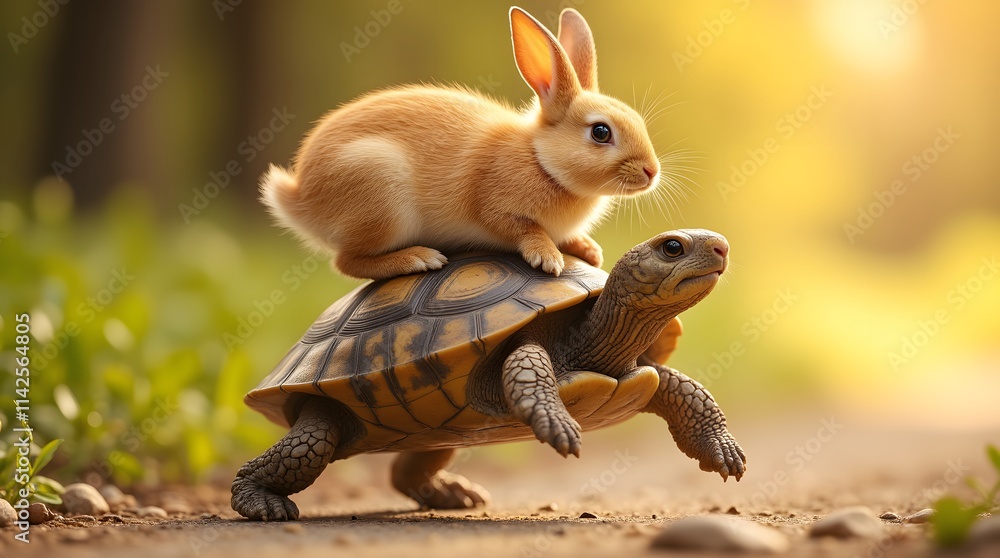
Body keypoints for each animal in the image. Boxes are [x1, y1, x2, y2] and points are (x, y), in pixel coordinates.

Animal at [261, 7, 661, 280]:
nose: (651, 172)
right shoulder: (495, 208)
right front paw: (548, 258)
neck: (540, 160)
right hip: (380, 192)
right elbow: (525, 229)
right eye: (600, 132)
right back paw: (419, 258)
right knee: (346, 262)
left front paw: (589, 252)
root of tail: (301, 197)